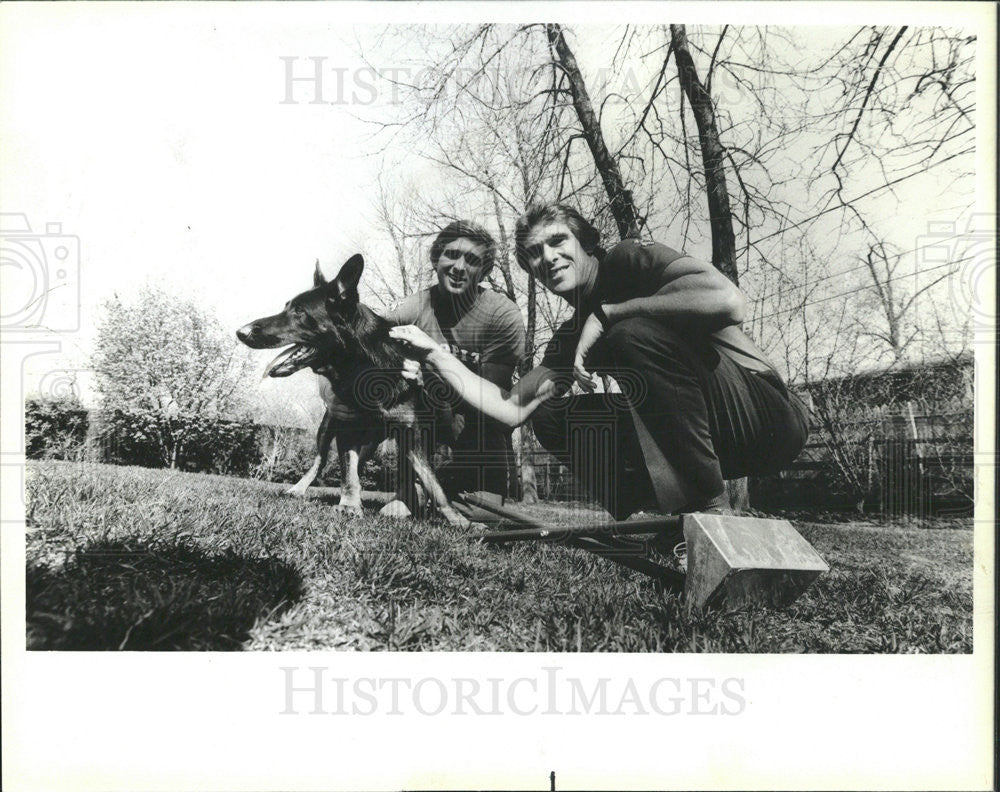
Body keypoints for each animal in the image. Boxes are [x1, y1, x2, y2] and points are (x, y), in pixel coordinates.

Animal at [236, 254, 470, 524]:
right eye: (287, 307)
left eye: (299, 312)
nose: (240, 332)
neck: (363, 366)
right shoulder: (347, 427)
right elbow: (348, 472)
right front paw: (349, 505)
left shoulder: (411, 433)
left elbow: (432, 481)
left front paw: (456, 518)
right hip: (328, 427)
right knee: (321, 460)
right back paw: (299, 488)